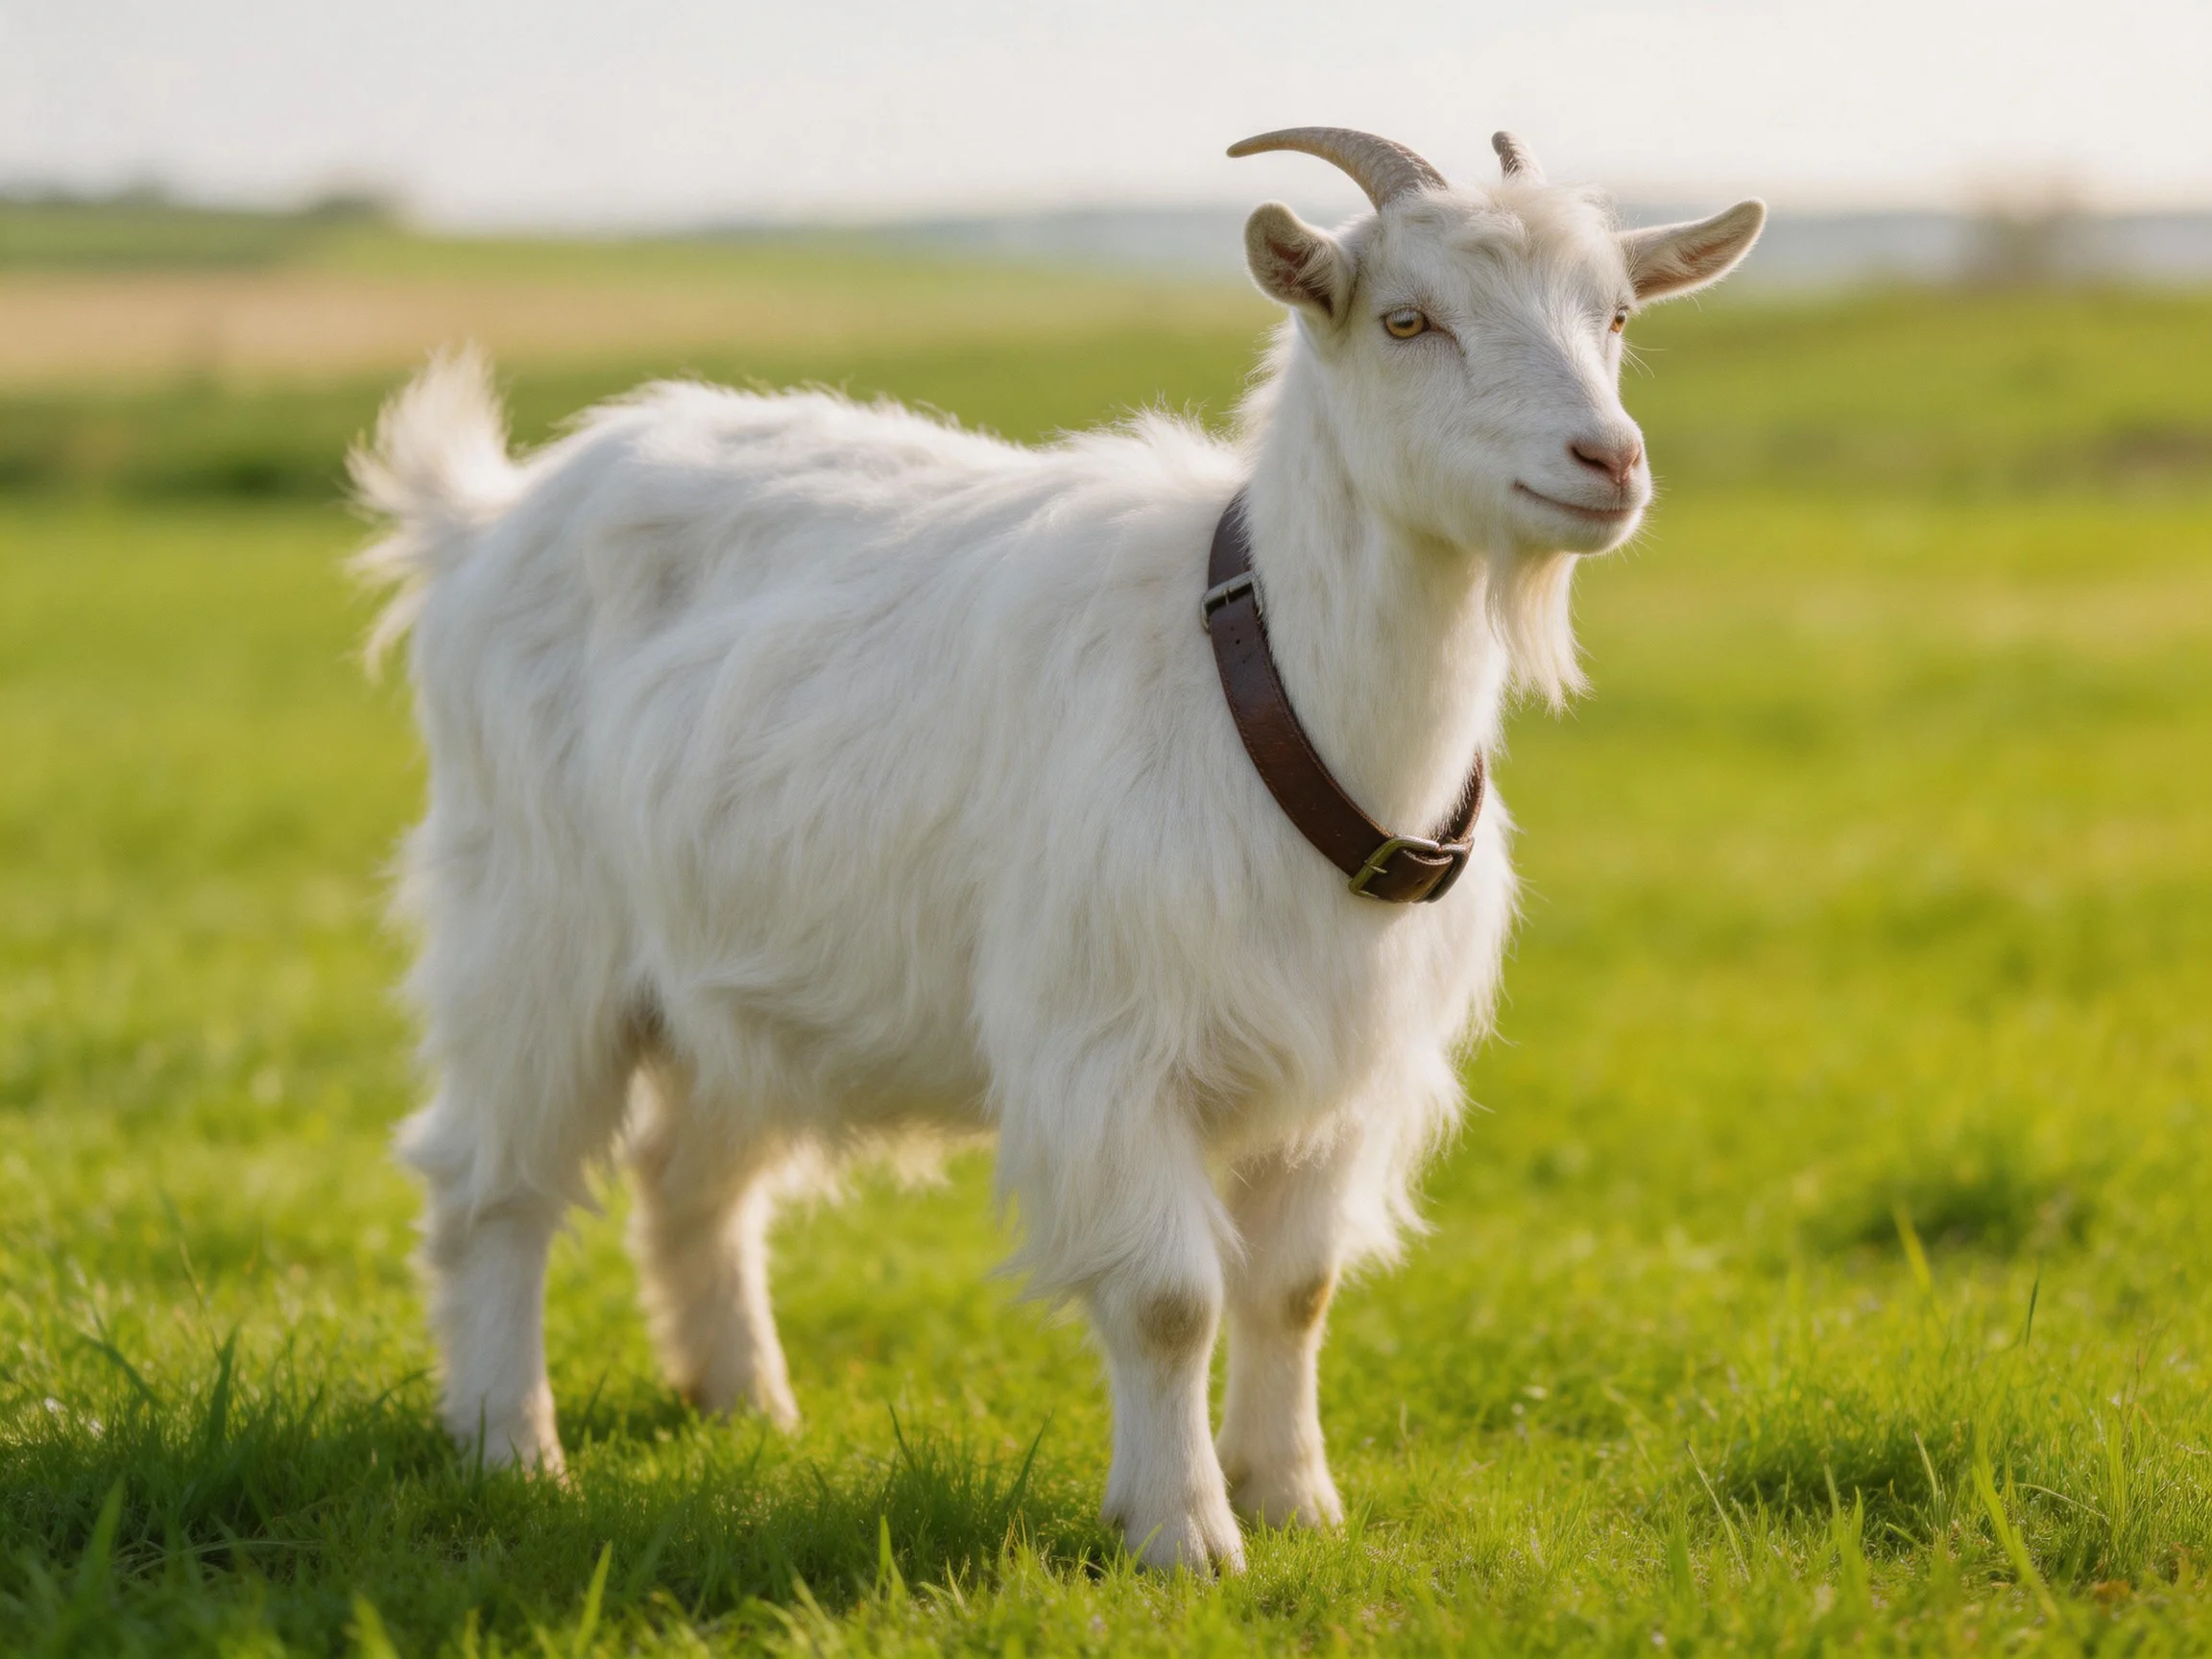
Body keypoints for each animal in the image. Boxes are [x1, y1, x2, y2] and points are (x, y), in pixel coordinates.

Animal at [352, 127, 1762, 1572]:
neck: (1275, 688)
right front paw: (1184, 1534)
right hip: (534, 931)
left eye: (1617, 315)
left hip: (733, 978)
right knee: (490, 1185)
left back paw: (745, 1406)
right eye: (1408, 320)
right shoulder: (1111, 1046)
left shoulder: (1339, 1068)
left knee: (693, 1178)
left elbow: (1295, 1290)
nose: (1608, 460)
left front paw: (1295, 1501)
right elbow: (1170, 1301)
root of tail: (486, 522)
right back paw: (509, 1447)